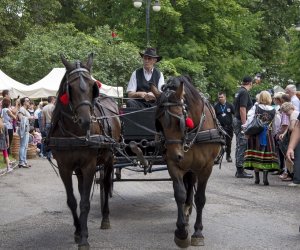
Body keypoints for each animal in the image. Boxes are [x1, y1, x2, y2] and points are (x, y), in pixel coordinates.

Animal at [48, 53, 120, 249]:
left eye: (91, 86)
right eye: (70, 88)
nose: (86, 121)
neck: (75, 132)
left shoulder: (89, 165)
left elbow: (85, 202)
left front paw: (84, 238)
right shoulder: (64, 167)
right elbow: (73, 201)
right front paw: (78, 231)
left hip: (109, 159)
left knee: (105, 184)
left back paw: (105, 219)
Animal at [151, 76, 224, 248]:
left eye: (180, 120)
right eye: (159, 122)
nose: (174, 155)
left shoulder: (206, 168)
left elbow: (200, 198)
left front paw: (197, 232)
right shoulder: (174, 165)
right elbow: (179, 194)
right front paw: (181, 231)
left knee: (191, 186)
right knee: (187, 187)